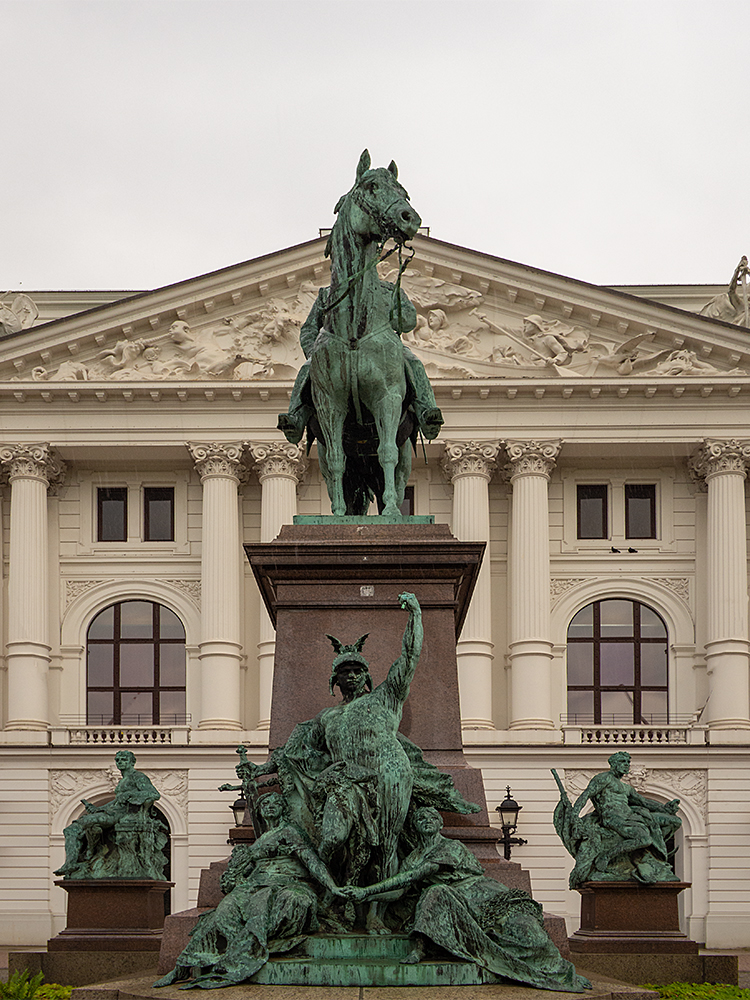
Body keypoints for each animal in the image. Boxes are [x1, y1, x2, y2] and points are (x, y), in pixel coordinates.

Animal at [306, 154, 424, 524]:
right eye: (371, 186)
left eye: (405, 192)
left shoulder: (388, 398)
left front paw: (392, 511)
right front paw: (339, 515)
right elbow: (336, 463)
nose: (410, 218)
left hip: (406, 446)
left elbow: (386, 454)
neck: (355, 332)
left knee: (396, 470)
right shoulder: (329, 404)